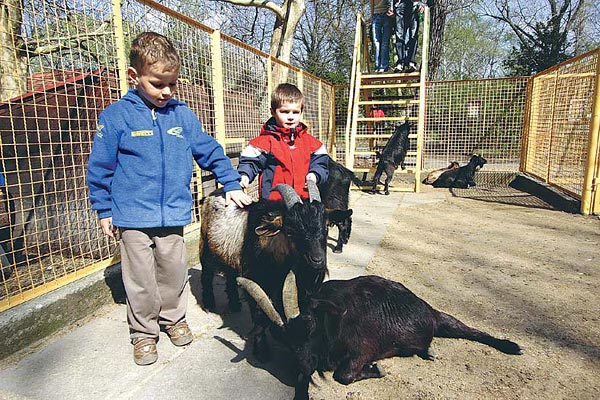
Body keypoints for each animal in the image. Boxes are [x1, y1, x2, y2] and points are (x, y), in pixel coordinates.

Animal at [238, 272, 520, 400]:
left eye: (310, 325)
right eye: (283, 339)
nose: (305, 364)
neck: (332, 323)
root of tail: (421, 305)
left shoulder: (361, 349)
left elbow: (343, 375)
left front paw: (377, 369)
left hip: (442, 319)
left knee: (471, 330)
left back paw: (511, 345)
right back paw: (427, 351)